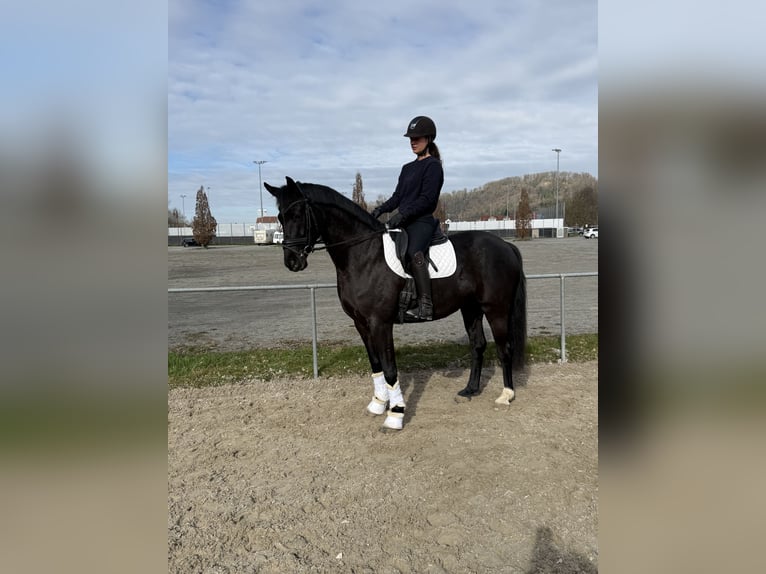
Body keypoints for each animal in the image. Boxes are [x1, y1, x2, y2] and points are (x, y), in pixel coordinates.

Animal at [264, 177, 527, 431]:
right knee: (478, 345)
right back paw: (470, 389)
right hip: (470, 308)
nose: (292, 262)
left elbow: (390, 368)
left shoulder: (381, 323)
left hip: (496, 309)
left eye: (298, 214)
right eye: (280, 217)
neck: (364, 255)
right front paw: (379, 403)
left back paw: (506, 395)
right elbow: (376, 364)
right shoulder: (361, 323)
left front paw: (396, 414)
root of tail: (506, 245)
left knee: (504, 348)